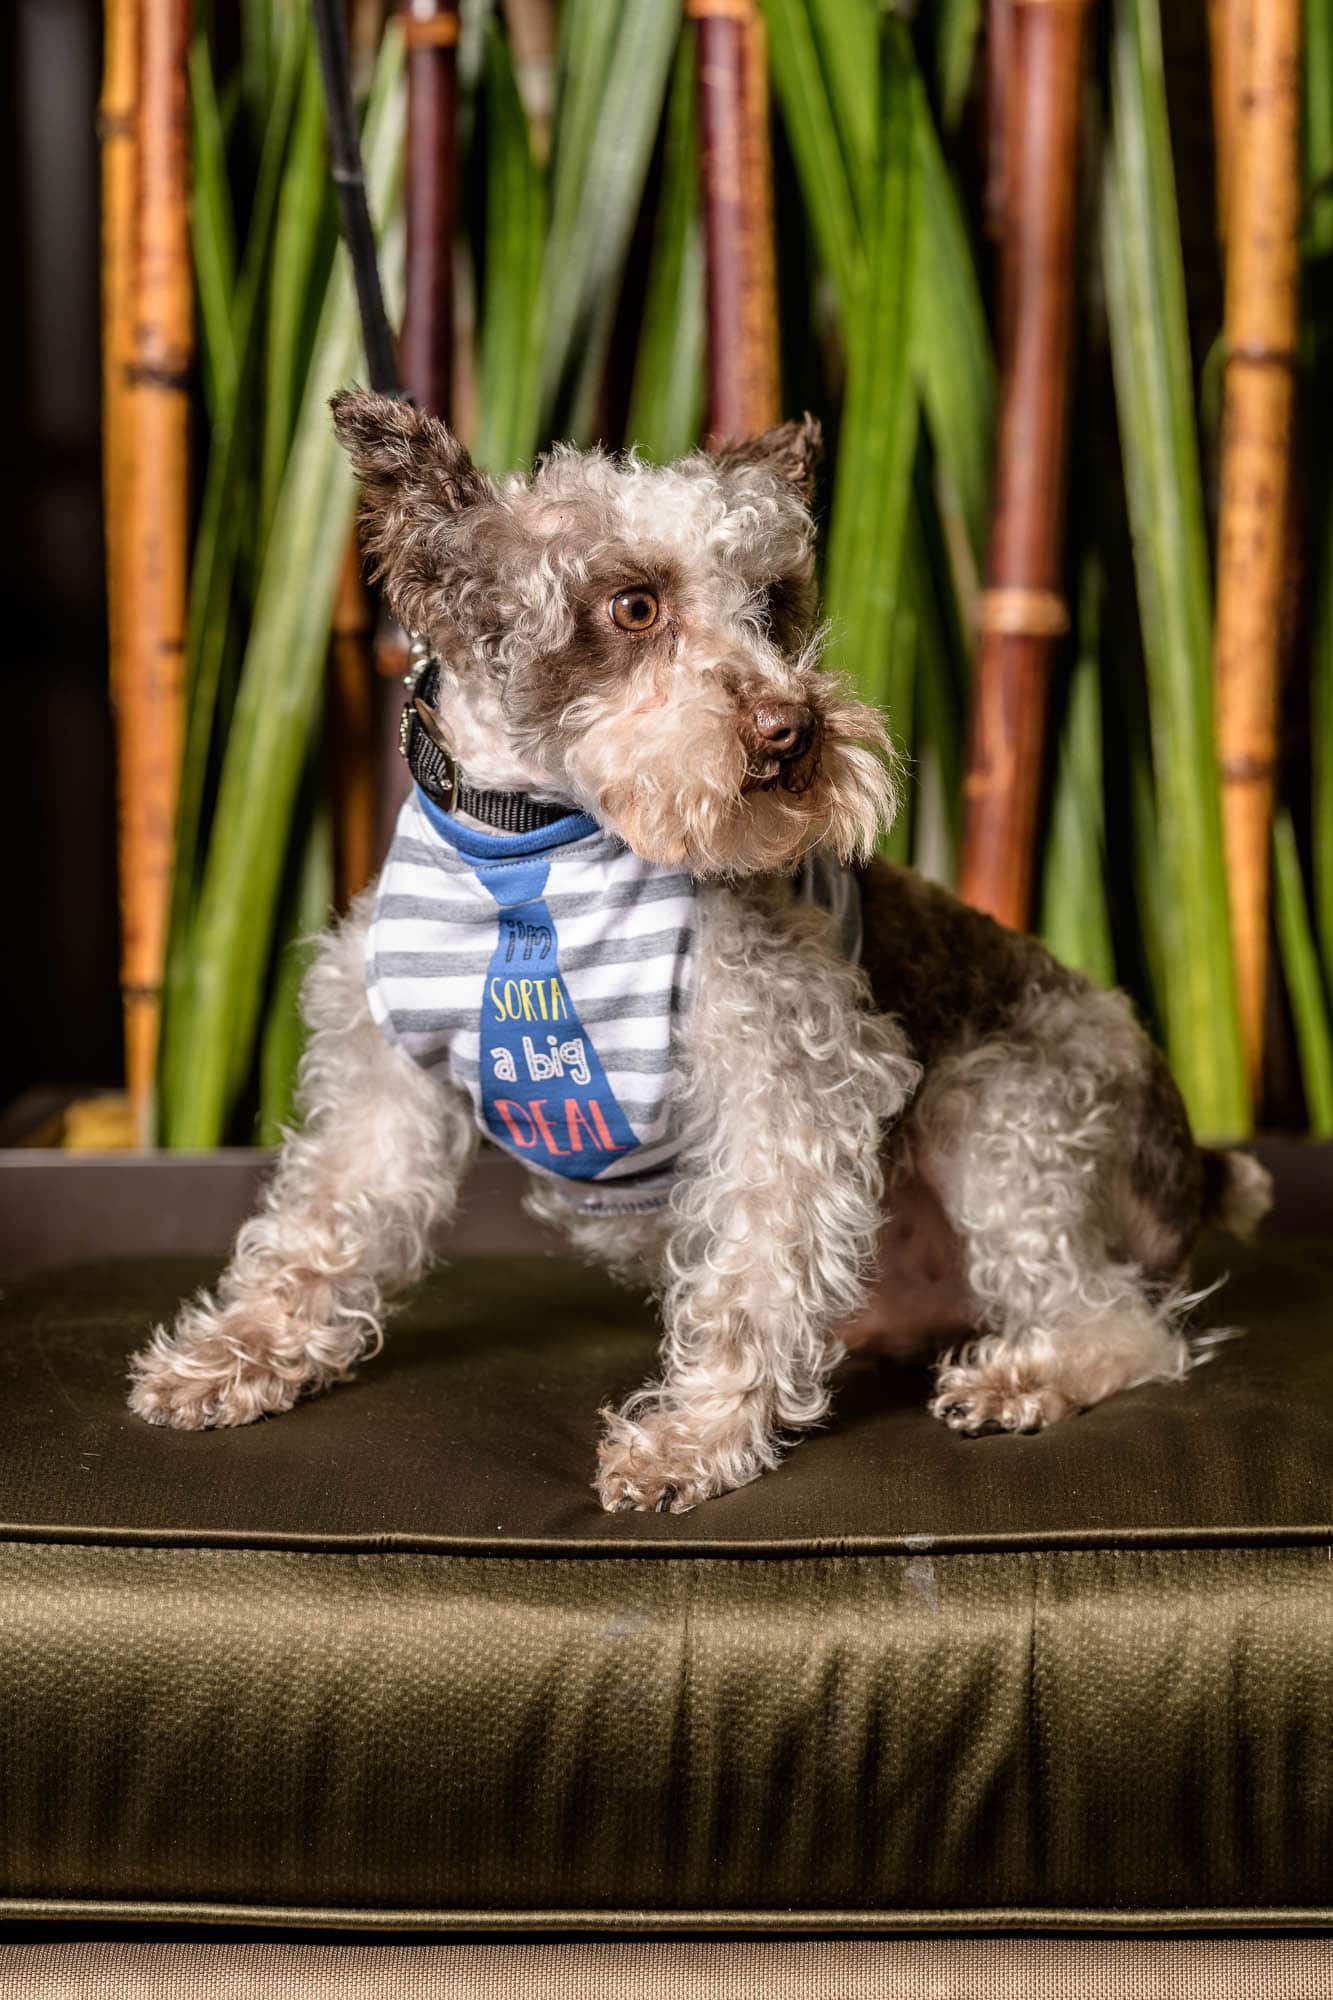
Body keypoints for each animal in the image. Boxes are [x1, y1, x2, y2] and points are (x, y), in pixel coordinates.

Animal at [130, 390, 1272, 1504]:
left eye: (770, 605)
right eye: (633, 605)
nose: (791, 732)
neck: (529, 850)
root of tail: (1194, 1169)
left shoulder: (789, 1079)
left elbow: (752, 1278)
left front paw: (697, 1436)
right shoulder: (383, 1082)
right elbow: (317, 1228)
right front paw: (234, 1354)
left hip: (1005, 1116)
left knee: (1123, 1322)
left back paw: (1024, 1376)